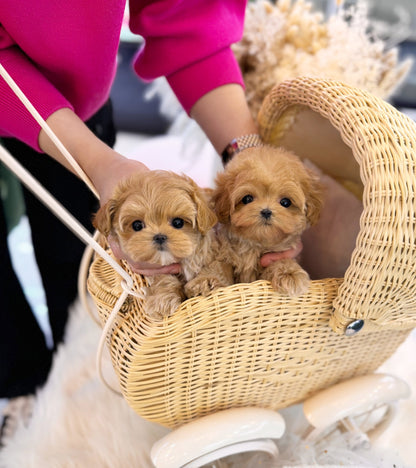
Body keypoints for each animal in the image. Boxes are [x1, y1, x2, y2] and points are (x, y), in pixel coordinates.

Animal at [93, 170, 228, 320]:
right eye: (137, 225)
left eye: (178, 223)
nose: (159, 237)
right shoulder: (157, 269)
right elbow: (163, 279)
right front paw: (162, 300)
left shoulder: (214, 254)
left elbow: (214, 266)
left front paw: (204, 282)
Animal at [213, 145, 324, 296]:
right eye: (247, 199)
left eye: (285, 202)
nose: (266, 211)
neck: (256, 244)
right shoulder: (224, 250)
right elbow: (222, 265)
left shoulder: (278, 254)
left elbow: (280, 261)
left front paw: (289, 273)